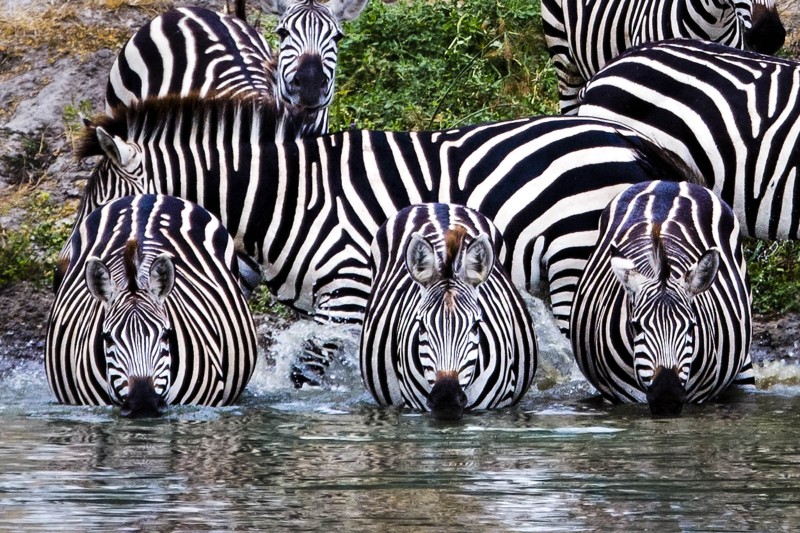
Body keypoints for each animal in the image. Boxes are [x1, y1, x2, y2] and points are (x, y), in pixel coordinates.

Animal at [71, 95, 688, 339]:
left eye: (104, 212)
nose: (63, 272)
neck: (289, 194)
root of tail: (628, 139)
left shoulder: (345, 293)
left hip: (573, 262)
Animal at [570, 181, 752, 415]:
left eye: (691, 327)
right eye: (636, 326)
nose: (667, 397)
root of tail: (669, 183)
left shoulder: (700, 397)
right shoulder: (618, 397)